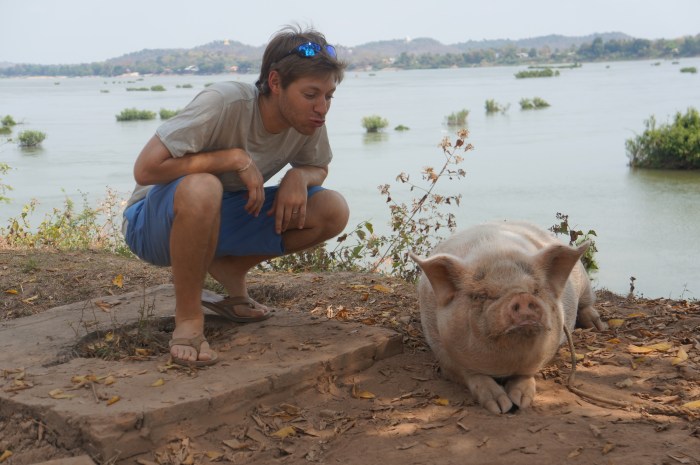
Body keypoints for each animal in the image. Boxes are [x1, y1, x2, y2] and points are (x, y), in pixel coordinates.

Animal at [410, 221, 606, 414]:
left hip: (585, 283)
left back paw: (599, 326)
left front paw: (521, 402)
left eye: (535, 290)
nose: (522, 296)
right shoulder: (441, 351)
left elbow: (527, 374)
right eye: (482, 295)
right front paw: (501, 407)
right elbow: (471, 374)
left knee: (587, 304)